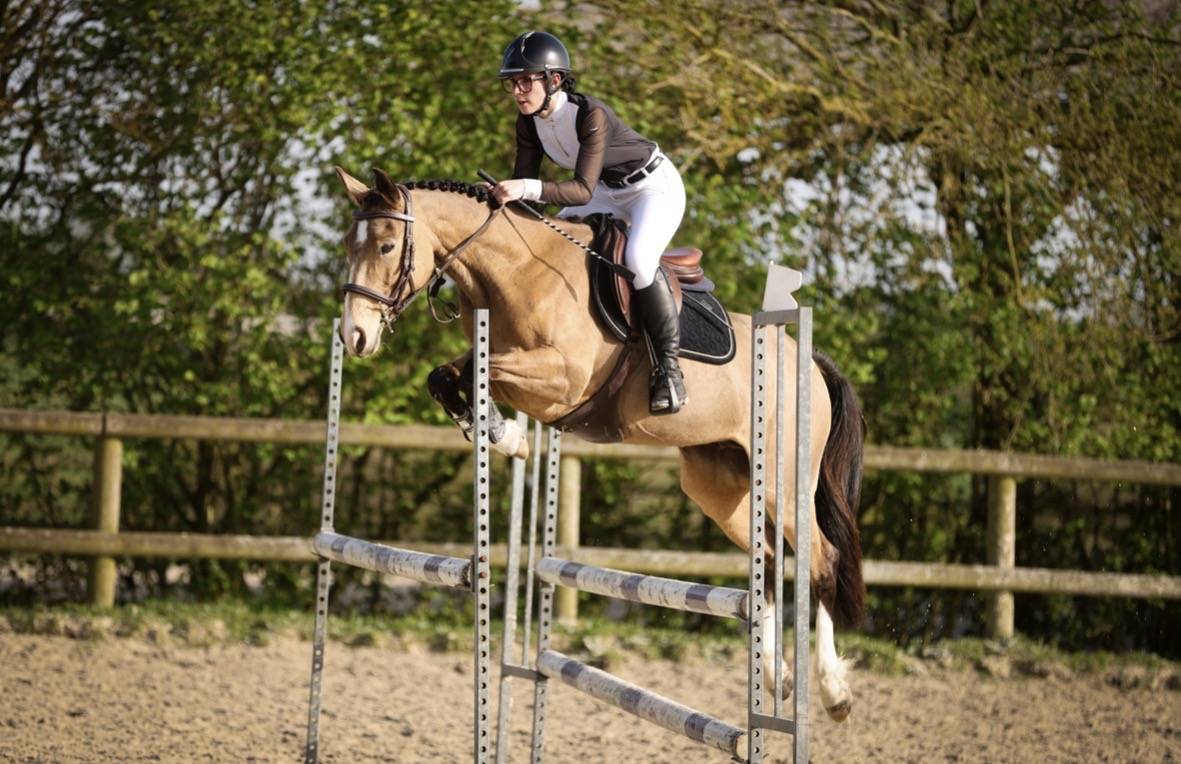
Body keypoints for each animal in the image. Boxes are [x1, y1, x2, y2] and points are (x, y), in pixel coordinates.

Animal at [333, 166, 867, 721]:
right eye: (349, 245)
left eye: (387, 245)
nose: (355, 336)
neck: (517, 270)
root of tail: (806, 359)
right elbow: (447, 375)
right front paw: (503, 436)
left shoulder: (560, 380)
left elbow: (479, 372)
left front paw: (506, 435)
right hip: (720, 485)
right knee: (766, 563)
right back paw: (775, 676)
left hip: (787, 483)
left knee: (821, 560)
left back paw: (832, 691)